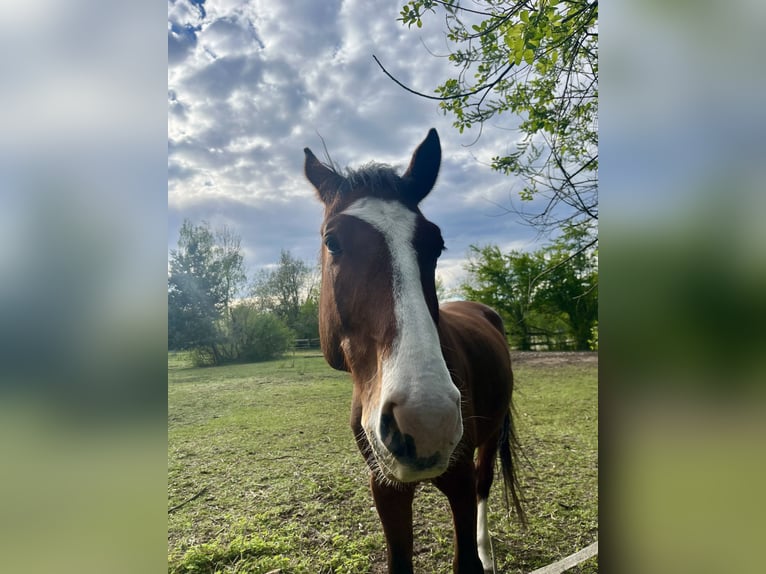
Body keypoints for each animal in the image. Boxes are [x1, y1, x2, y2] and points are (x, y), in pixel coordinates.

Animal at [303, 128, 525, 573]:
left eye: (436, 244)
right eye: (332, 241)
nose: (426, 422)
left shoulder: (458, 481)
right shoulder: (386, 487)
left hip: (490, 438)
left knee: (485, 484)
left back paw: (487, 551)